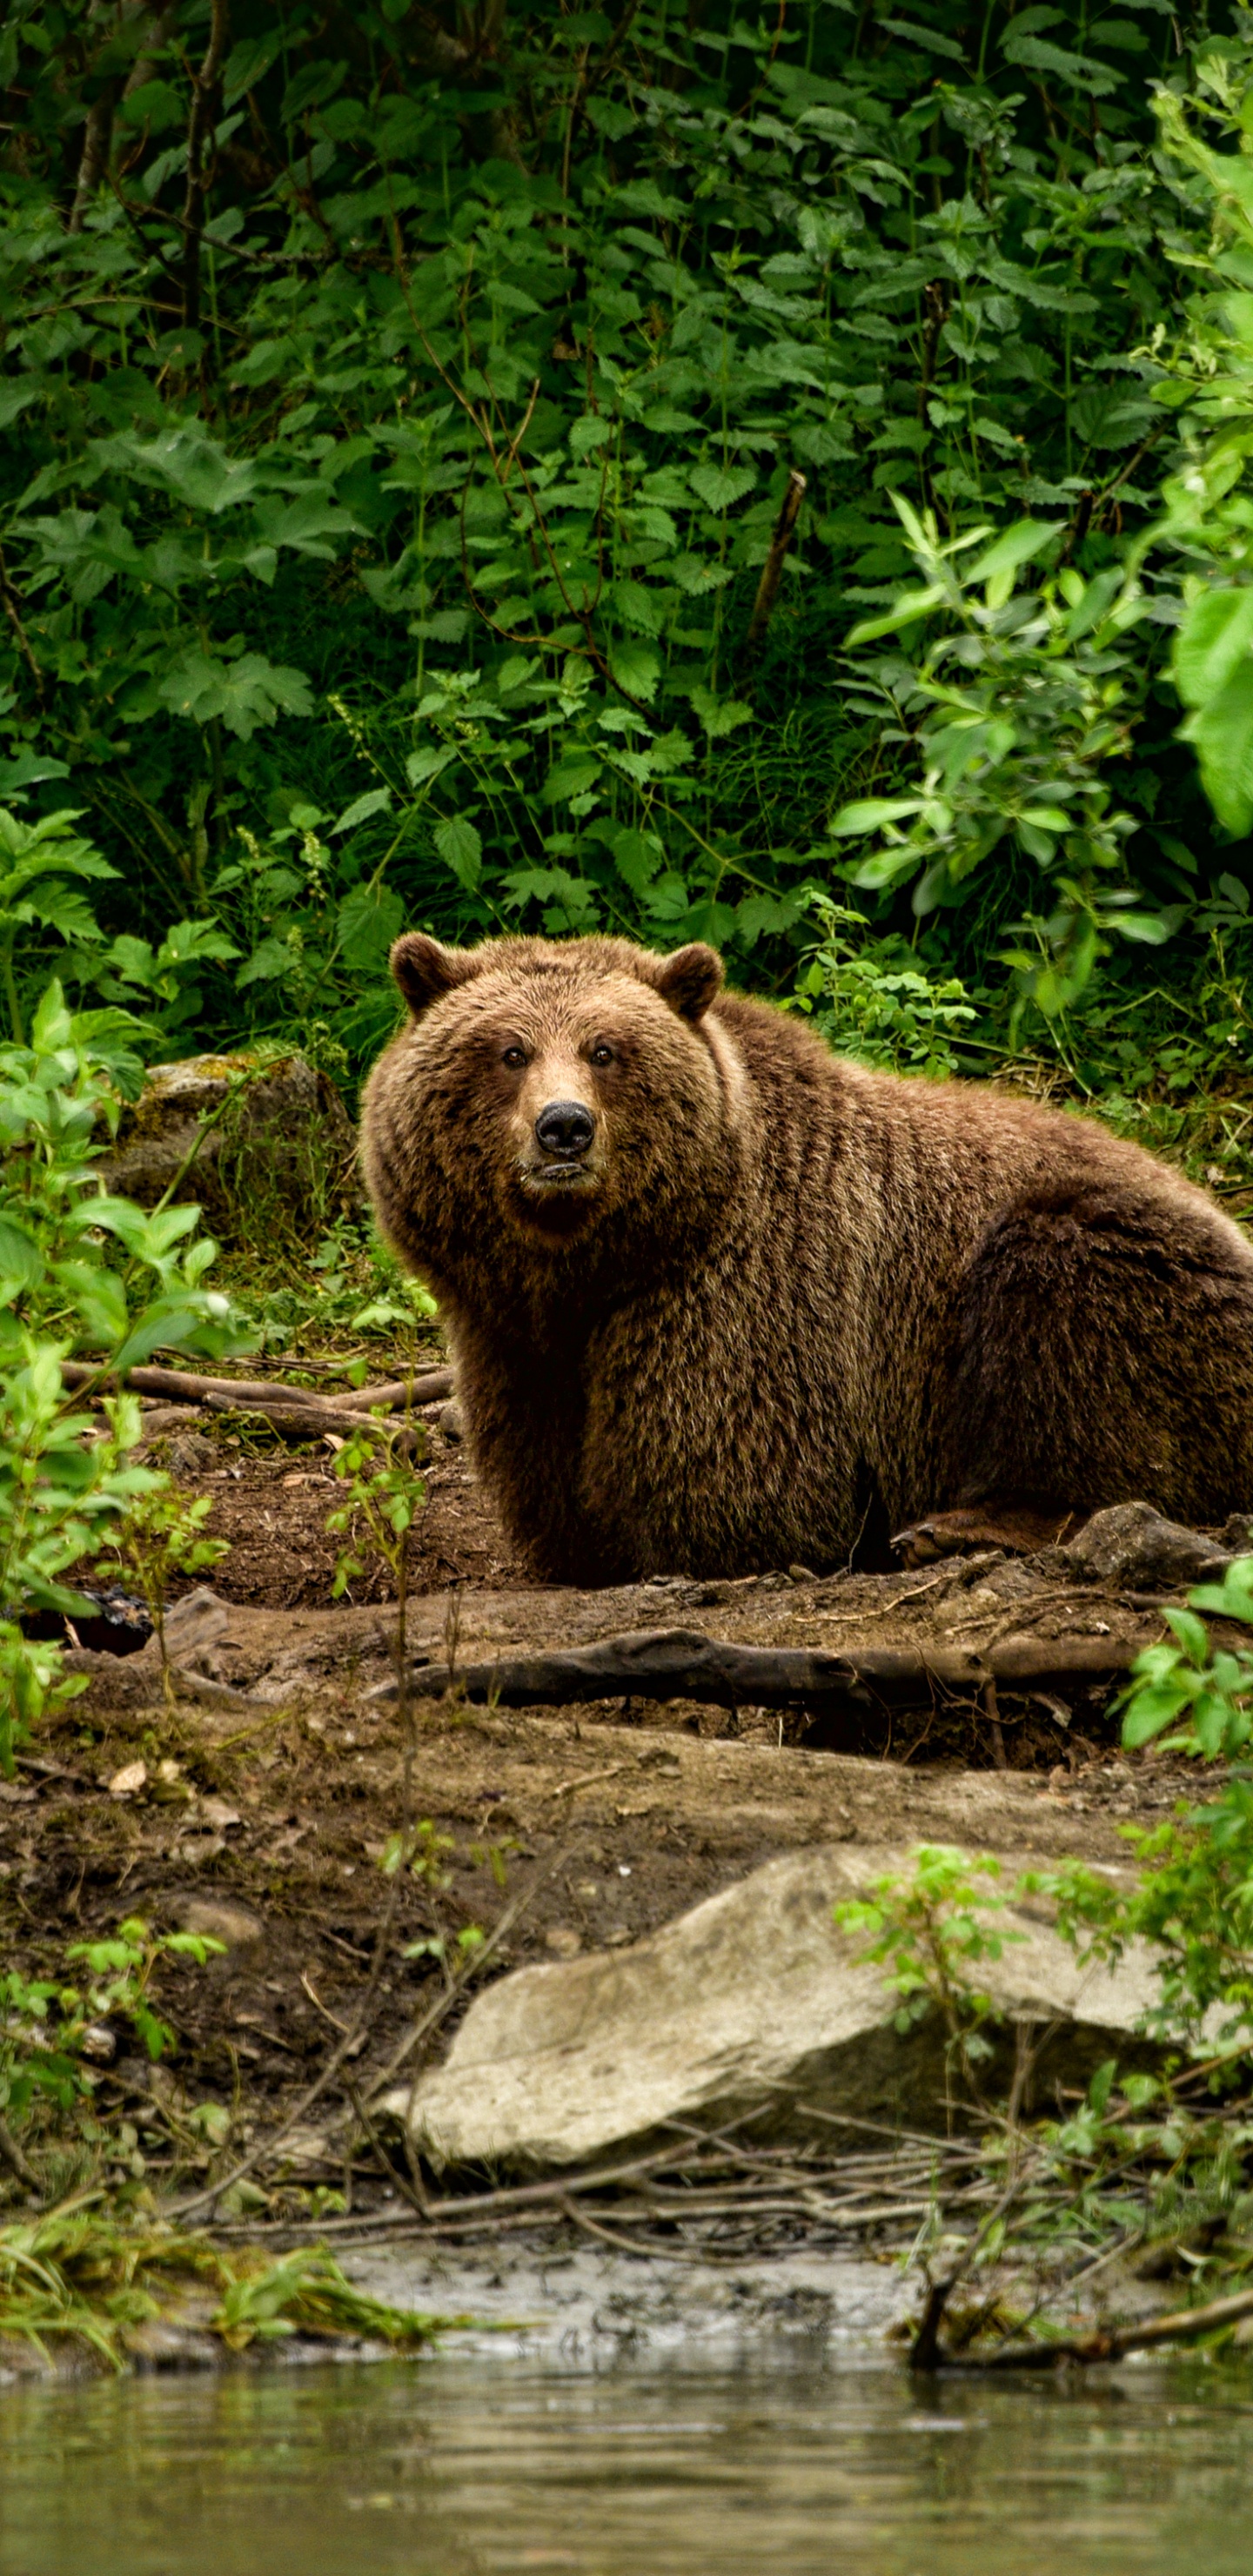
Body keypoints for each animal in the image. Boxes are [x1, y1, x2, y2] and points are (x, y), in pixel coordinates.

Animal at [358, 927, 1253, 1566]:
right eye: (510, 1050)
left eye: (605, 1050)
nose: (564, 1128)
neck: (597, 1263)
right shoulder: (508, 1333)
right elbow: (543, 1462)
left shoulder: (749, 1295)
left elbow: (737, 1475)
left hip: (1129, 1267)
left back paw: (961, 1525)